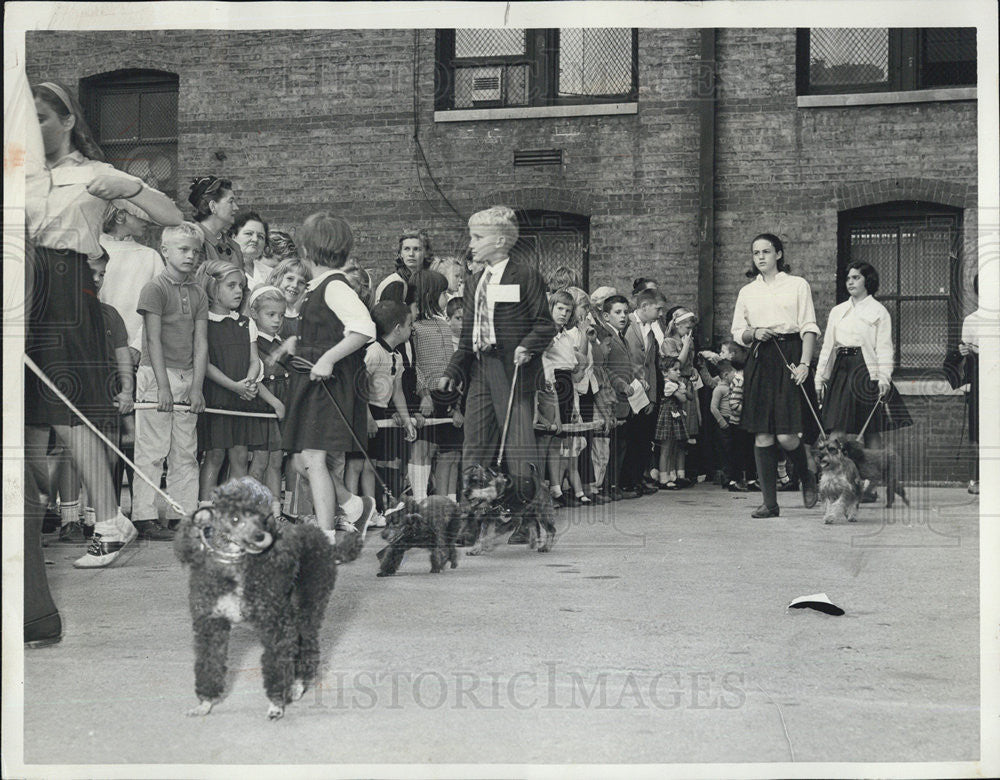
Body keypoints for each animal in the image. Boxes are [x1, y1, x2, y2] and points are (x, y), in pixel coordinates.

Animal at [176, 476, 364, 720]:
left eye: (264, 518)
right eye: (235, 517)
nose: (260, 537)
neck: (235, 567)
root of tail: (326, 543)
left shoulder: (275, 625)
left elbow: (276, 665)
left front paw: (276, 704)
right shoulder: (211, 625)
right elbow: (210, 663)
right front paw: (205, 704)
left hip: (309, 605)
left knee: (308, 647)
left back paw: (298, 686)